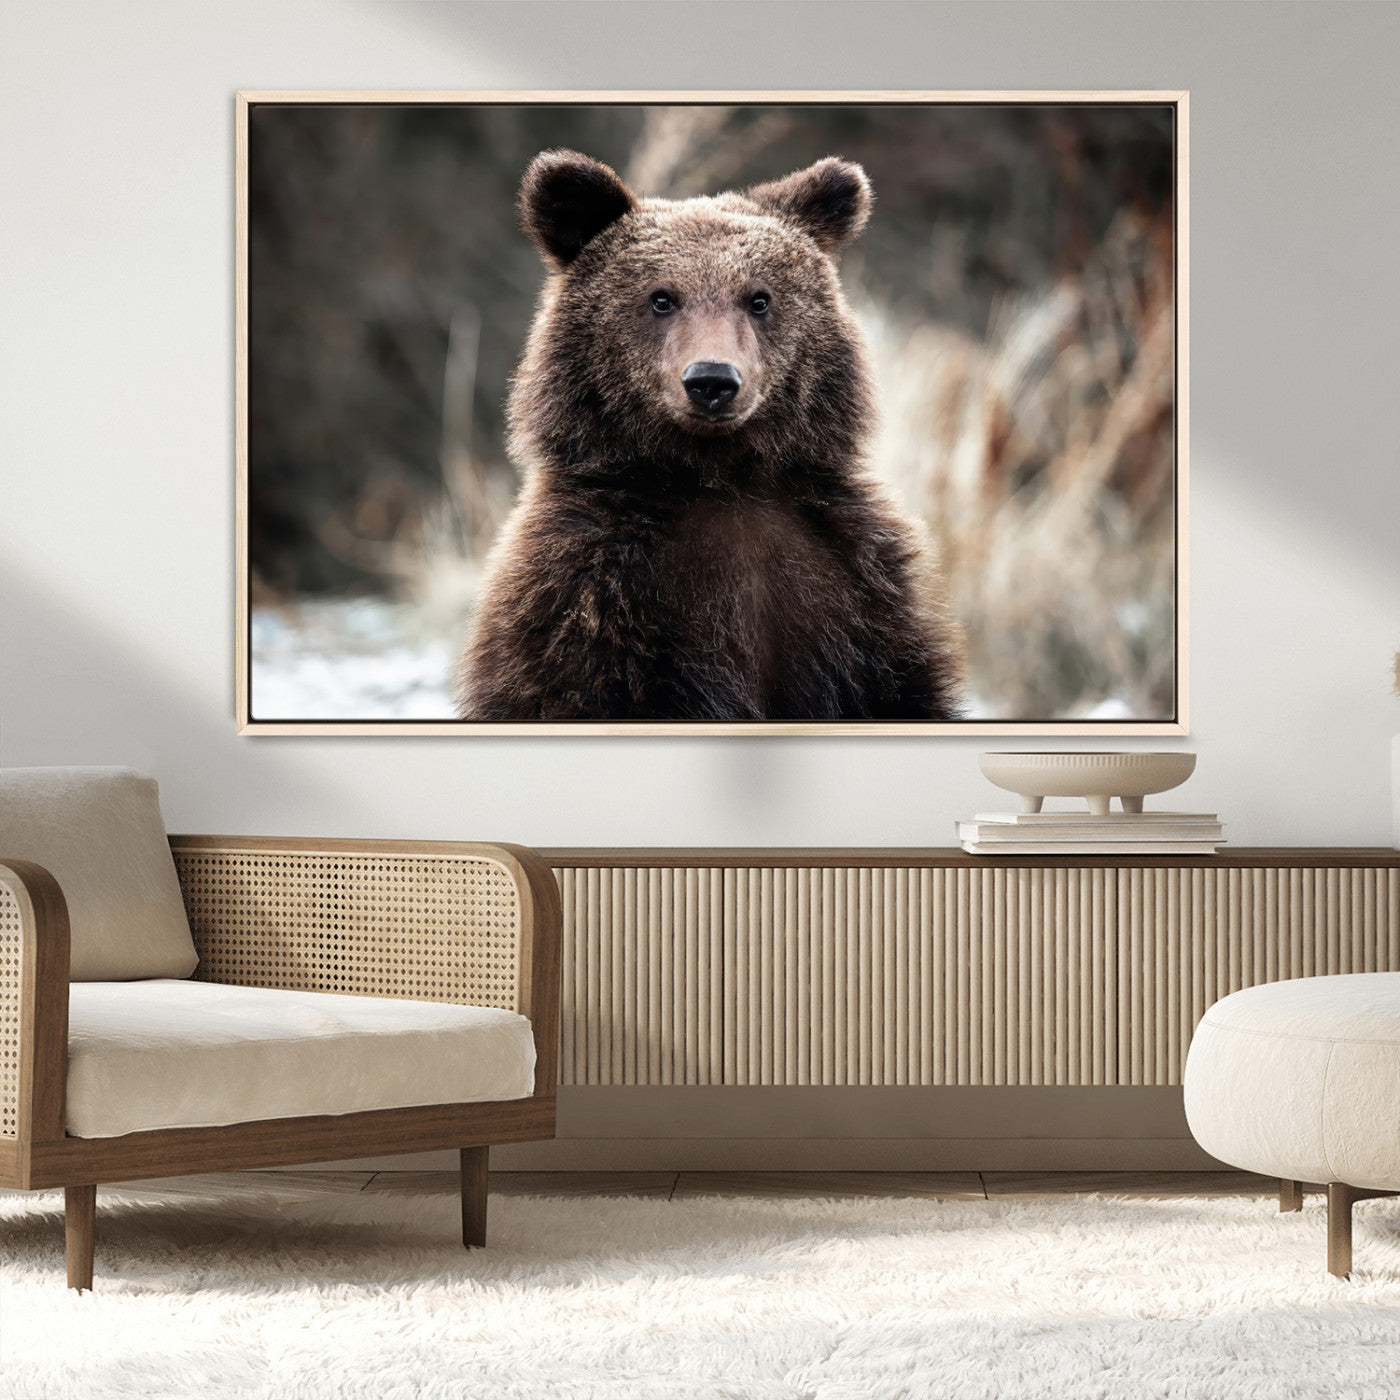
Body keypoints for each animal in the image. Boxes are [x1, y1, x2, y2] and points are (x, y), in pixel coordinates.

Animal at [456, 149, 965, 722]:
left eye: (759, 299)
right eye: (661, 298)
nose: (712, 380)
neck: (718, 476)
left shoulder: (857, 593)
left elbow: (898, 686)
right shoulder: (586, 599)